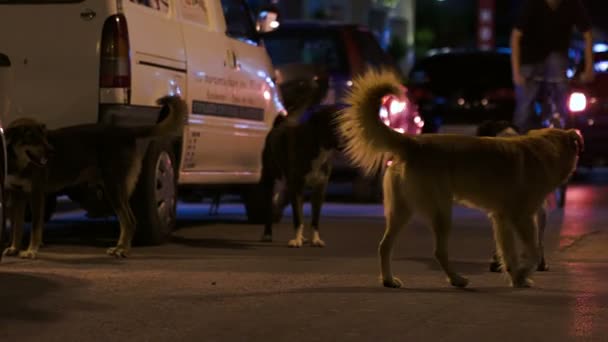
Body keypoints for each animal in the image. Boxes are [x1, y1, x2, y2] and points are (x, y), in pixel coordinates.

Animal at [340, 70, 580, 288]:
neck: (545, 150)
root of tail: (412, 142)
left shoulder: (502, 219)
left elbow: (509, 254)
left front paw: (517, 278)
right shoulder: (522, 217)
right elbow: (532, 251)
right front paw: (522, 274)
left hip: (402, 211)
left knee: (384, 246)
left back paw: (389, 280)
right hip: (441, 211)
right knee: (438, 251)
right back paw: (456, 279)